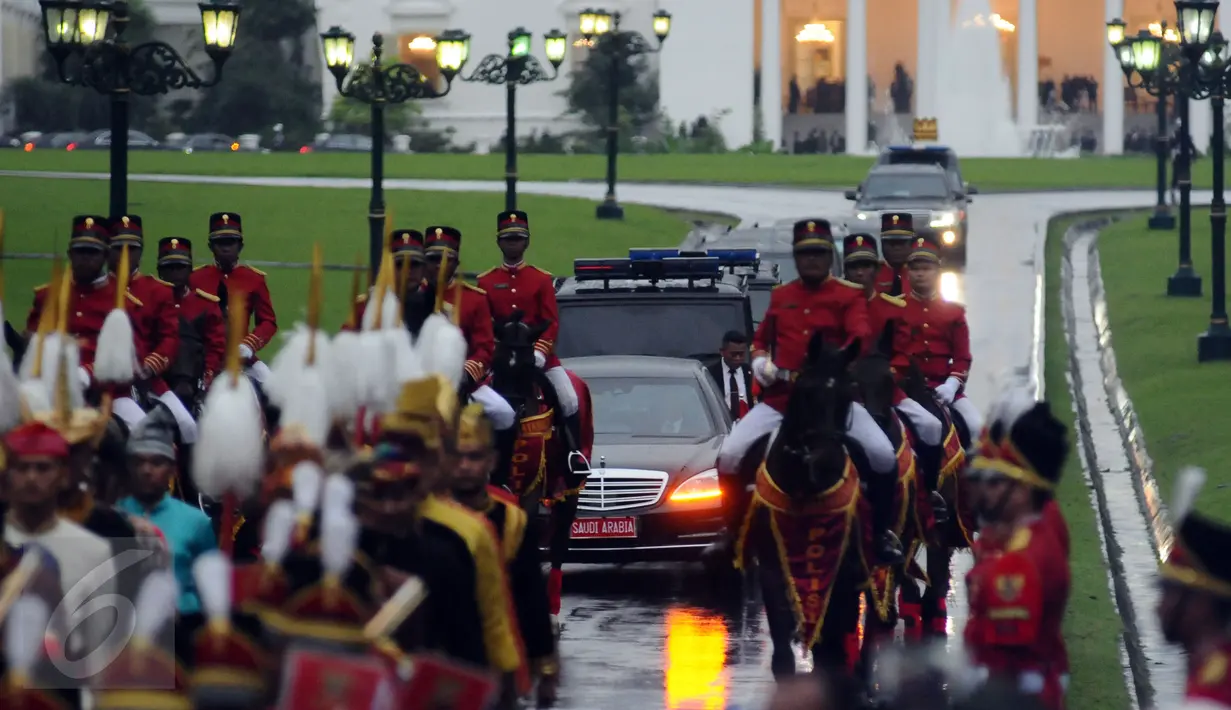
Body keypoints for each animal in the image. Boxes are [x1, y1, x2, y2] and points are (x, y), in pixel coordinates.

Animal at [485, 313, 590, 620]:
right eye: (496, 360)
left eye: (529, 364)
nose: (509, 410)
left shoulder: (530, 487)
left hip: (570, 487)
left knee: (558, 543)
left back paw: (553, 607)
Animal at [738, 337, 886, 694]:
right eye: (805, 391)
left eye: (849, 393)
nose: (825, 461)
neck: (804, 488)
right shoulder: (772, 570)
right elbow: (783, 655)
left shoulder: (843, 572)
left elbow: (833, 643)